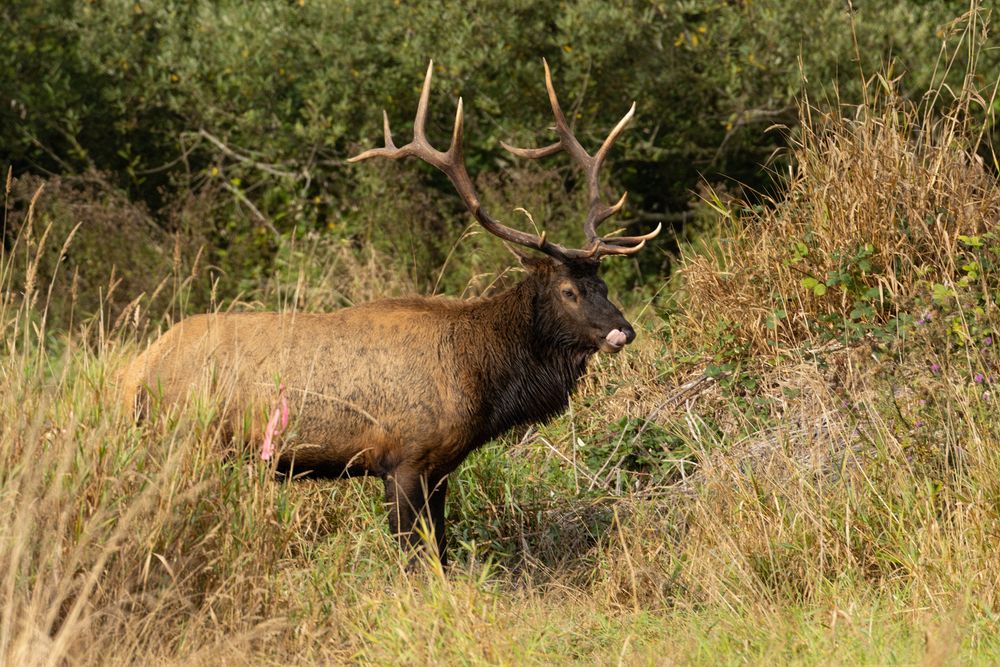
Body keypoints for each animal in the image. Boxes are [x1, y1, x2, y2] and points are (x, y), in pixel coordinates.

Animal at [119, 60, 660, 566]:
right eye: (568, 290)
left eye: (603, 284)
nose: (623, 330)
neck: (481, 379)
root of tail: (135, 373)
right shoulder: (404, 458)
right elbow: (413, 556)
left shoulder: (440, 469)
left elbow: (440, 551)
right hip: (187, 440)